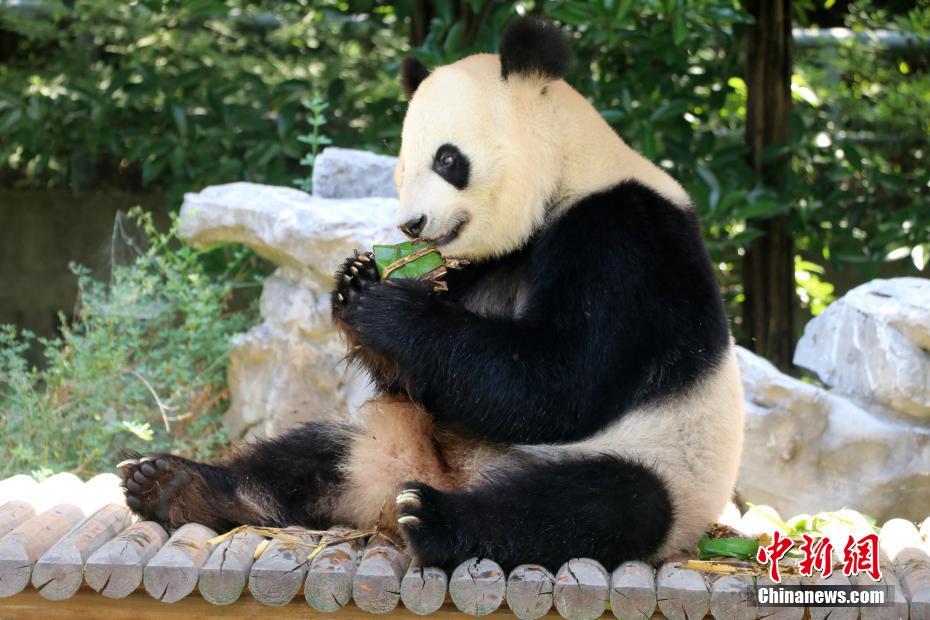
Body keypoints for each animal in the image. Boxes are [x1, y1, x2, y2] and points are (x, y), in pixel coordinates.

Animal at [119, 18, 744, 572]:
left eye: (448, 159)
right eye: (401, 166)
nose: (411, 224)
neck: (569, 173)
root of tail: (451, 475)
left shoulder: (625, 240)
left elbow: (562, 380)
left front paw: (393, 311)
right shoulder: (485, 265)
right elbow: (427, 378)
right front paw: (356, 280)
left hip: (665, 469)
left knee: (601, 504)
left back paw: (435, 521)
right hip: (389, 439)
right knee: (316, 452)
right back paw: (178, 487)